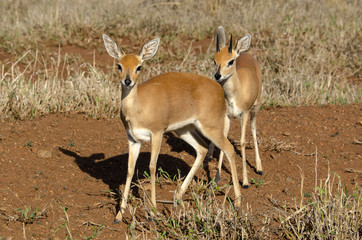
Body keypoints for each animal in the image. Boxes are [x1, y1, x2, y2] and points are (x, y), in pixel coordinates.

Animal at [102, 34, 243, 223]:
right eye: (119, 65)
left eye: (139, 66)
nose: (127, 81)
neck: (139, 107)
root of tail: (219, 89)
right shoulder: (133, 140)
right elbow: (130, 170)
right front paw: (119, 215)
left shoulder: (157, 134)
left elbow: (152, 167)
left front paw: (153, 211)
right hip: (184, 129)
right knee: (202, 149)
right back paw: (177, 196)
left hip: (211, 128)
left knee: (229, 149)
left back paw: (238, 203)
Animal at [209, 25, 264, 188]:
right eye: (214, 60)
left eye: (231, 61)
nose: (218, 76)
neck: (234, 94)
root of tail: (246, 54)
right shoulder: (227, 115)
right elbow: (224, 140)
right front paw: (216, 178)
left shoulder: (243, 114)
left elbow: (243, 142)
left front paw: (245, 181)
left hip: (255, 108)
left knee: (254, 129)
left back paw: (259, 167)